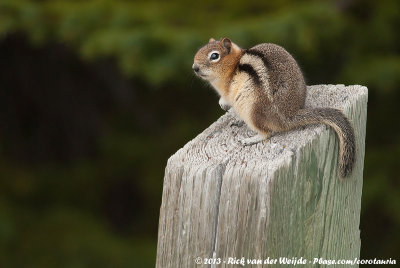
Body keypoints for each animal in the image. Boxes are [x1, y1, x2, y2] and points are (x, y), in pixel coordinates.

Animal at [194, 36, 356, 177]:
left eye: (214, 56)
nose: (195, 68)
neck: (233, 65)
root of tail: (288, 116)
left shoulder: (229, 90)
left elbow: (226, 97)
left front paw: (222, 103)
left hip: (251, 109)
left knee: (267, 133)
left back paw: (249, 139)